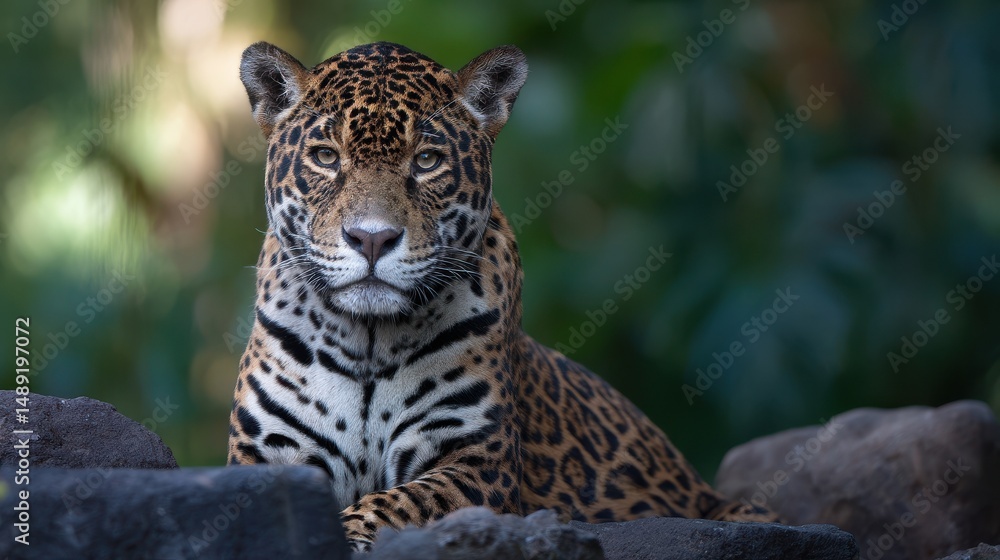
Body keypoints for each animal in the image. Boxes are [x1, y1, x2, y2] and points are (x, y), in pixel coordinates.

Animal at [227, 40, 776, 551]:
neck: (368, 338)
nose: (372, 238)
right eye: (326, 157)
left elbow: (396, 501)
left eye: (426, 161)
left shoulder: (479, 461)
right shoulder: (269, 454)